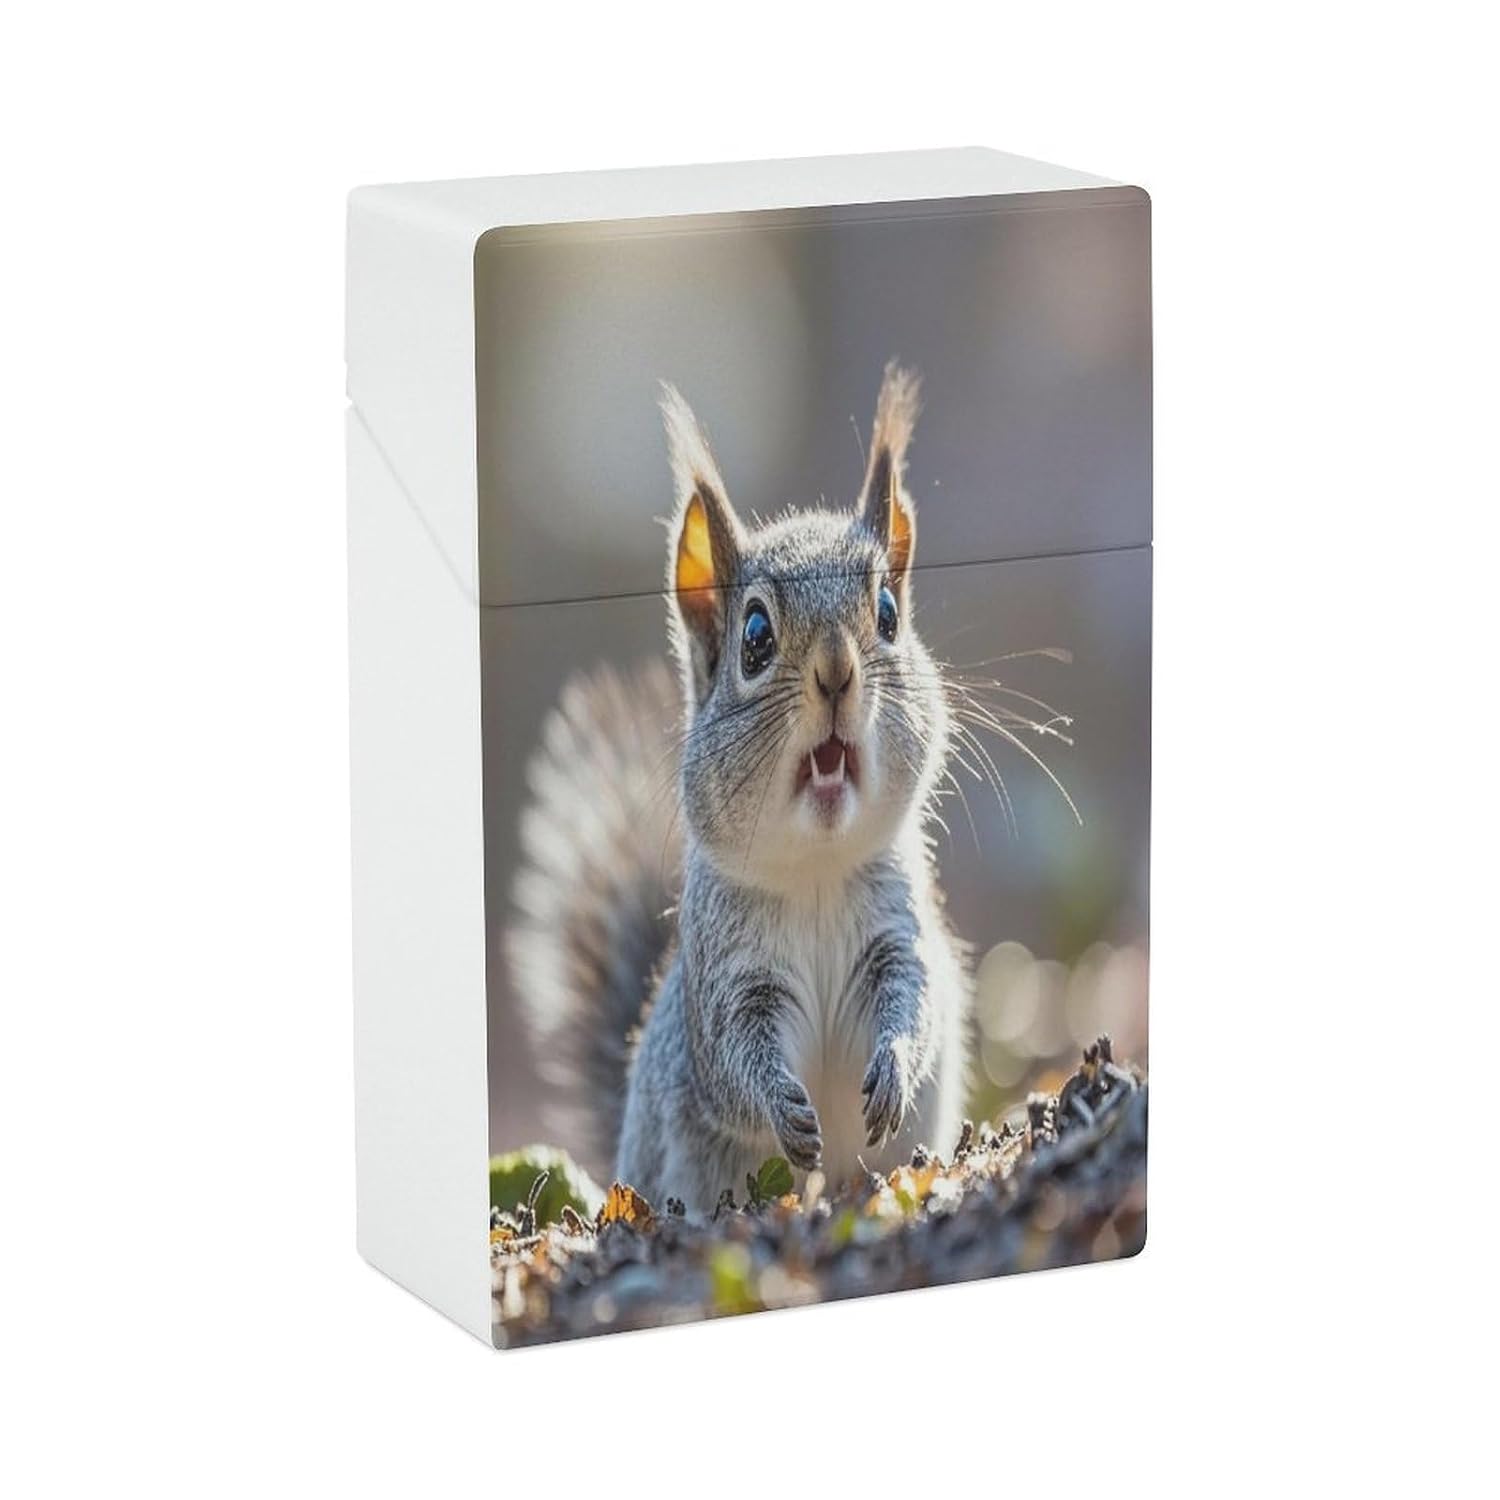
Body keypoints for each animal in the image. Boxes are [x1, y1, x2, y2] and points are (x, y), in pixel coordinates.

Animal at [508, 364, 971, 1214]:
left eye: (889, 613)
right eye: (754, 637)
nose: (836, 669)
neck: (817, 869)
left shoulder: (898, 932)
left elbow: (914, 999)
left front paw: (891, 1067)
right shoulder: (730, 983)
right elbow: (736, 1059)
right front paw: (784, 1106)